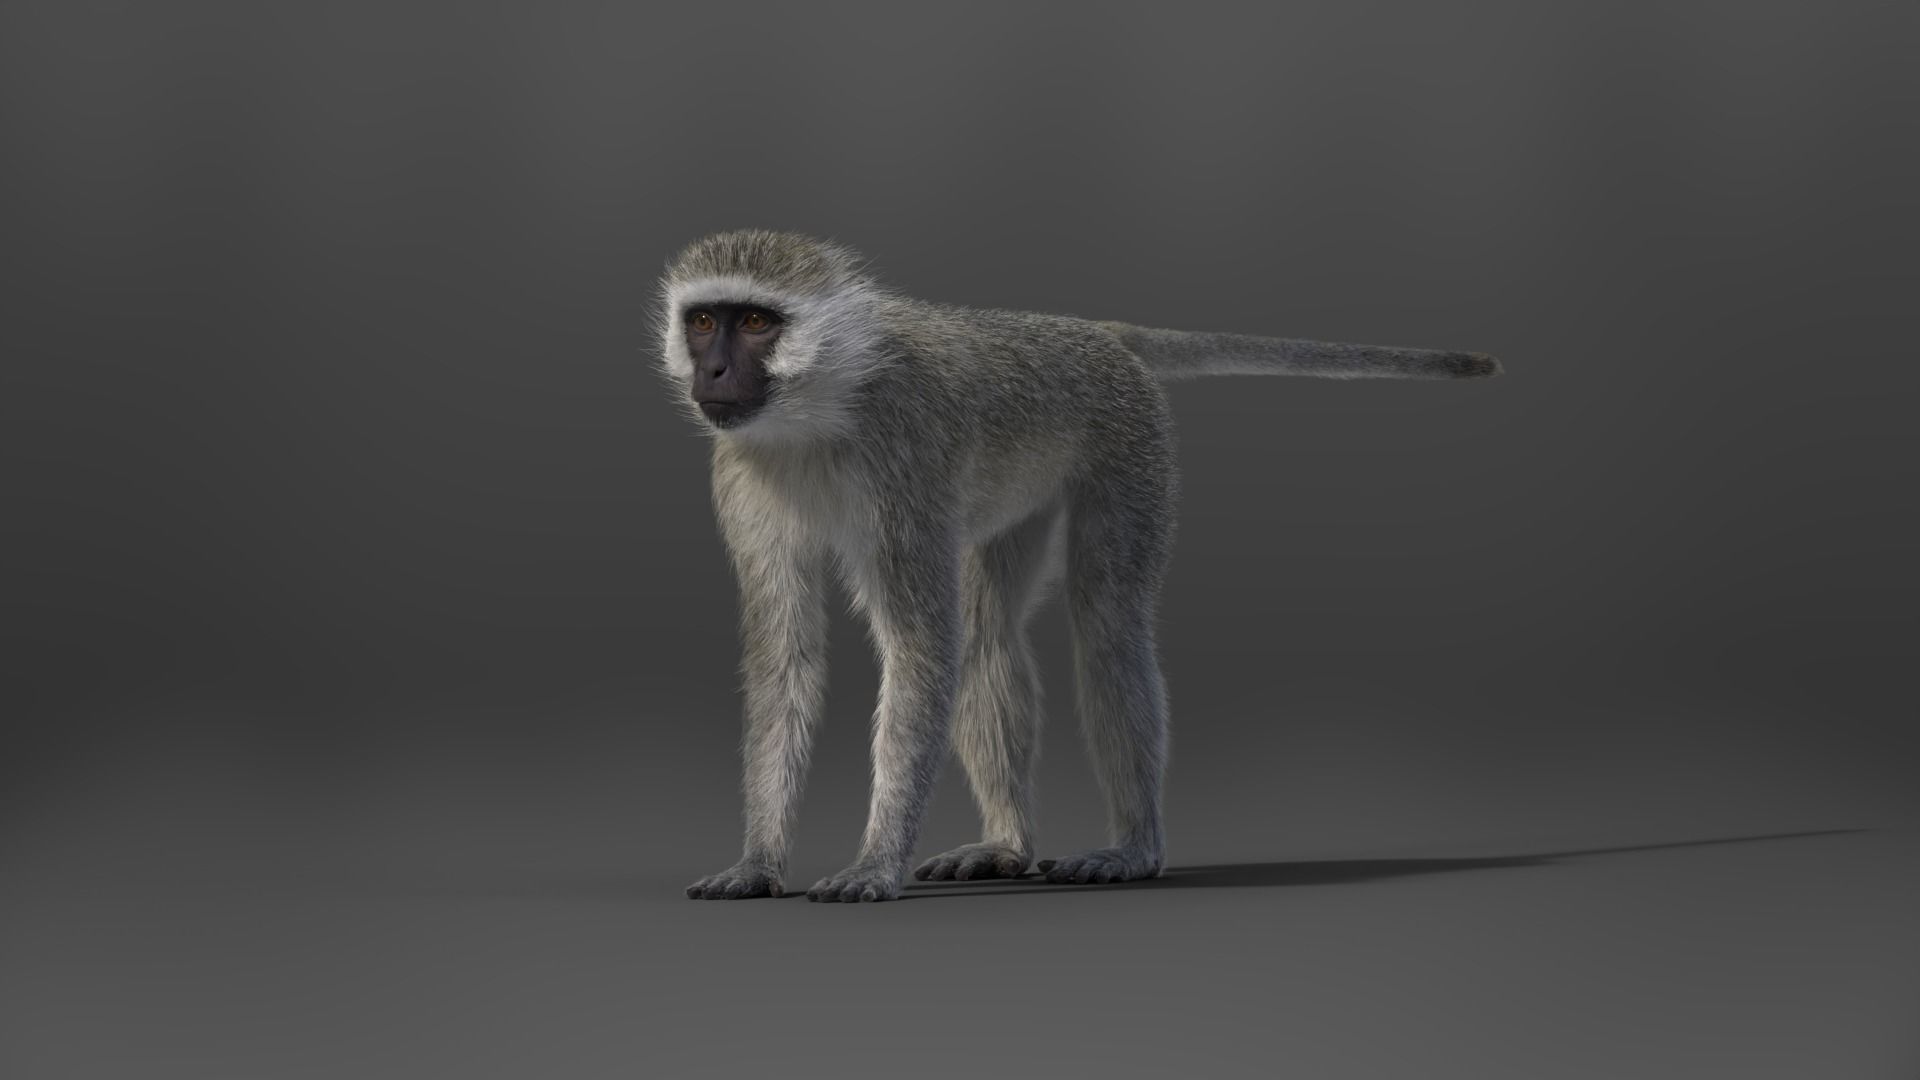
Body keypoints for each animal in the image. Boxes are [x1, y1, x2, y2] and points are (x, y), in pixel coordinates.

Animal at [660, 230, 1501, 903]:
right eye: (703, 321)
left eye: (757, 322)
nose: (715, 374)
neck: (823, 407)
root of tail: (1093, 331)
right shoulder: (740, 475)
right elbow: (787, 657)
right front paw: (758, 861)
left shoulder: (904, 457)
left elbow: (922, 651)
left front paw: (874, 863)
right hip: (1025, 484)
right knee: (991, 631)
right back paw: (1007, 846)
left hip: (1130, 439)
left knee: (1107, 623)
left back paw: (1134, 849)